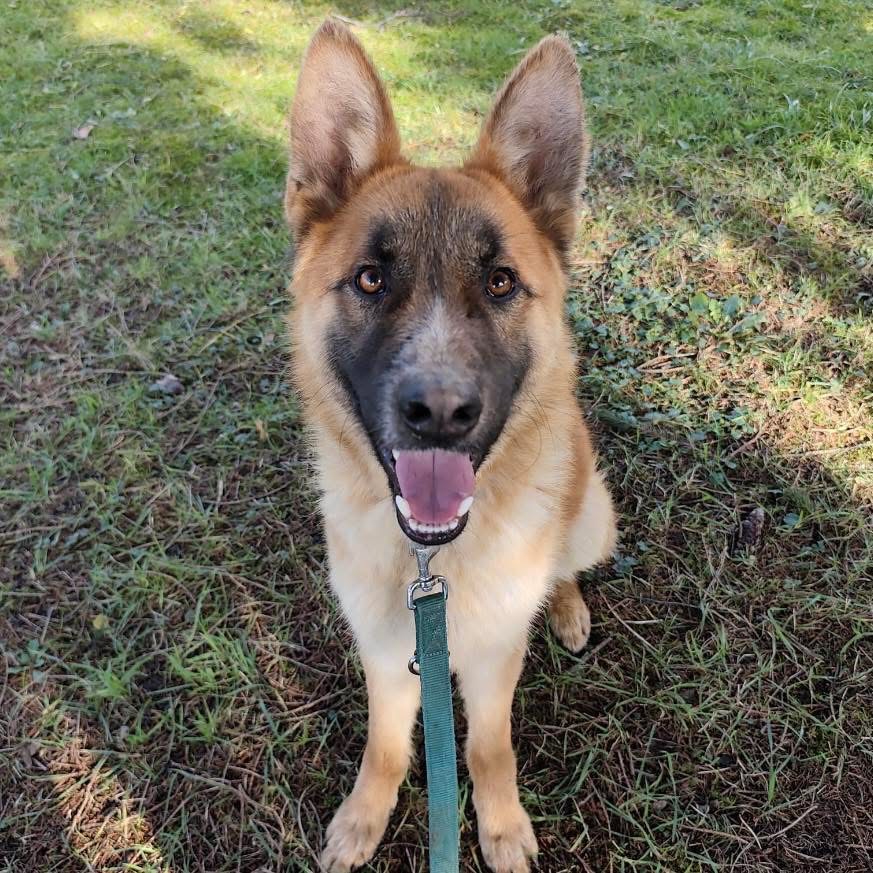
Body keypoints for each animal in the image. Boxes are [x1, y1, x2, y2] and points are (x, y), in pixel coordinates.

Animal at [284, 20, 617, 873]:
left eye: (499, 282)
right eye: (369, 280)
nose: (438, 413)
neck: (432, 565)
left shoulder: (495, 660)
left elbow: (487, 748)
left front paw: (499, 826)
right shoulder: (385, 652)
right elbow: (387, 744)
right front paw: (364, 816)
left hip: (593, 512)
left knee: (567, 564)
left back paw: (566, 606)